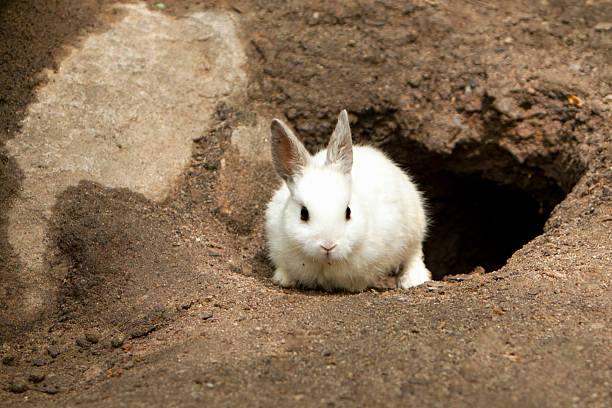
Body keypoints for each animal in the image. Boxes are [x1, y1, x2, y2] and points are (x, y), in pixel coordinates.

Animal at [264, 110, 430, 292]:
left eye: (348, 212)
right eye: (303, 213)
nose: (328, 245)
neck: (325, 263)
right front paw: (282, 280)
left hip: (414, 227)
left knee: (414, 255)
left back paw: (413, 280)